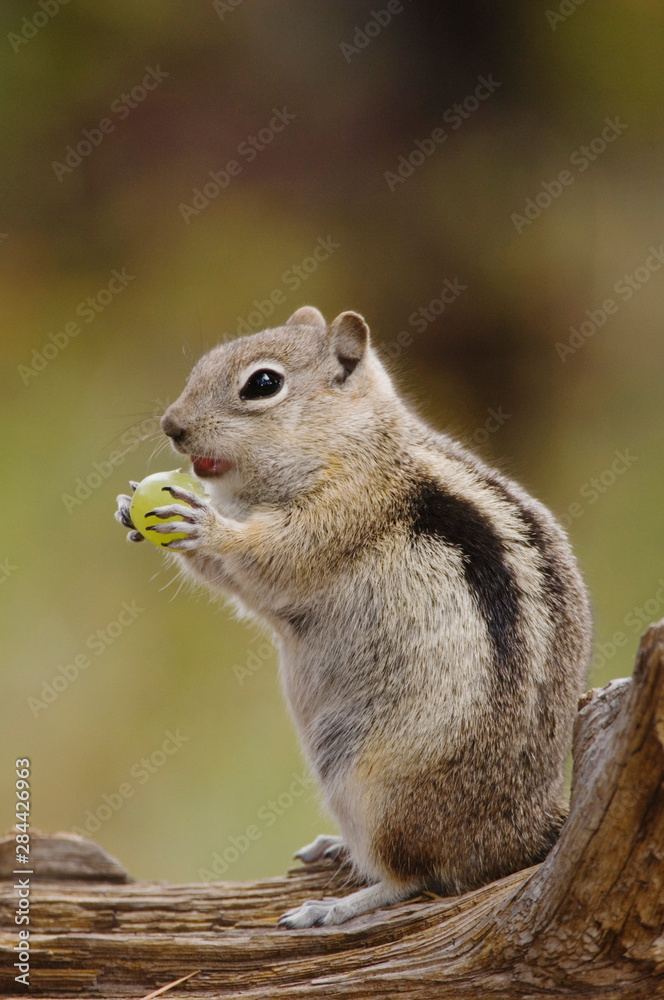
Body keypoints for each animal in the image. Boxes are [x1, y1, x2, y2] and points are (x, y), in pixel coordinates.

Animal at [115, 305, 592, 928]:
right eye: (202, 365)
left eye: (262, 384)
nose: (171, 426)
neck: (357, 444)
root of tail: (520, 832)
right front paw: (131, 509)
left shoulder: (342, 512)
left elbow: (270, 557)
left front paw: (207, 525)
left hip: (376, 786)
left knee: (415, 877)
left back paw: (335, 906)